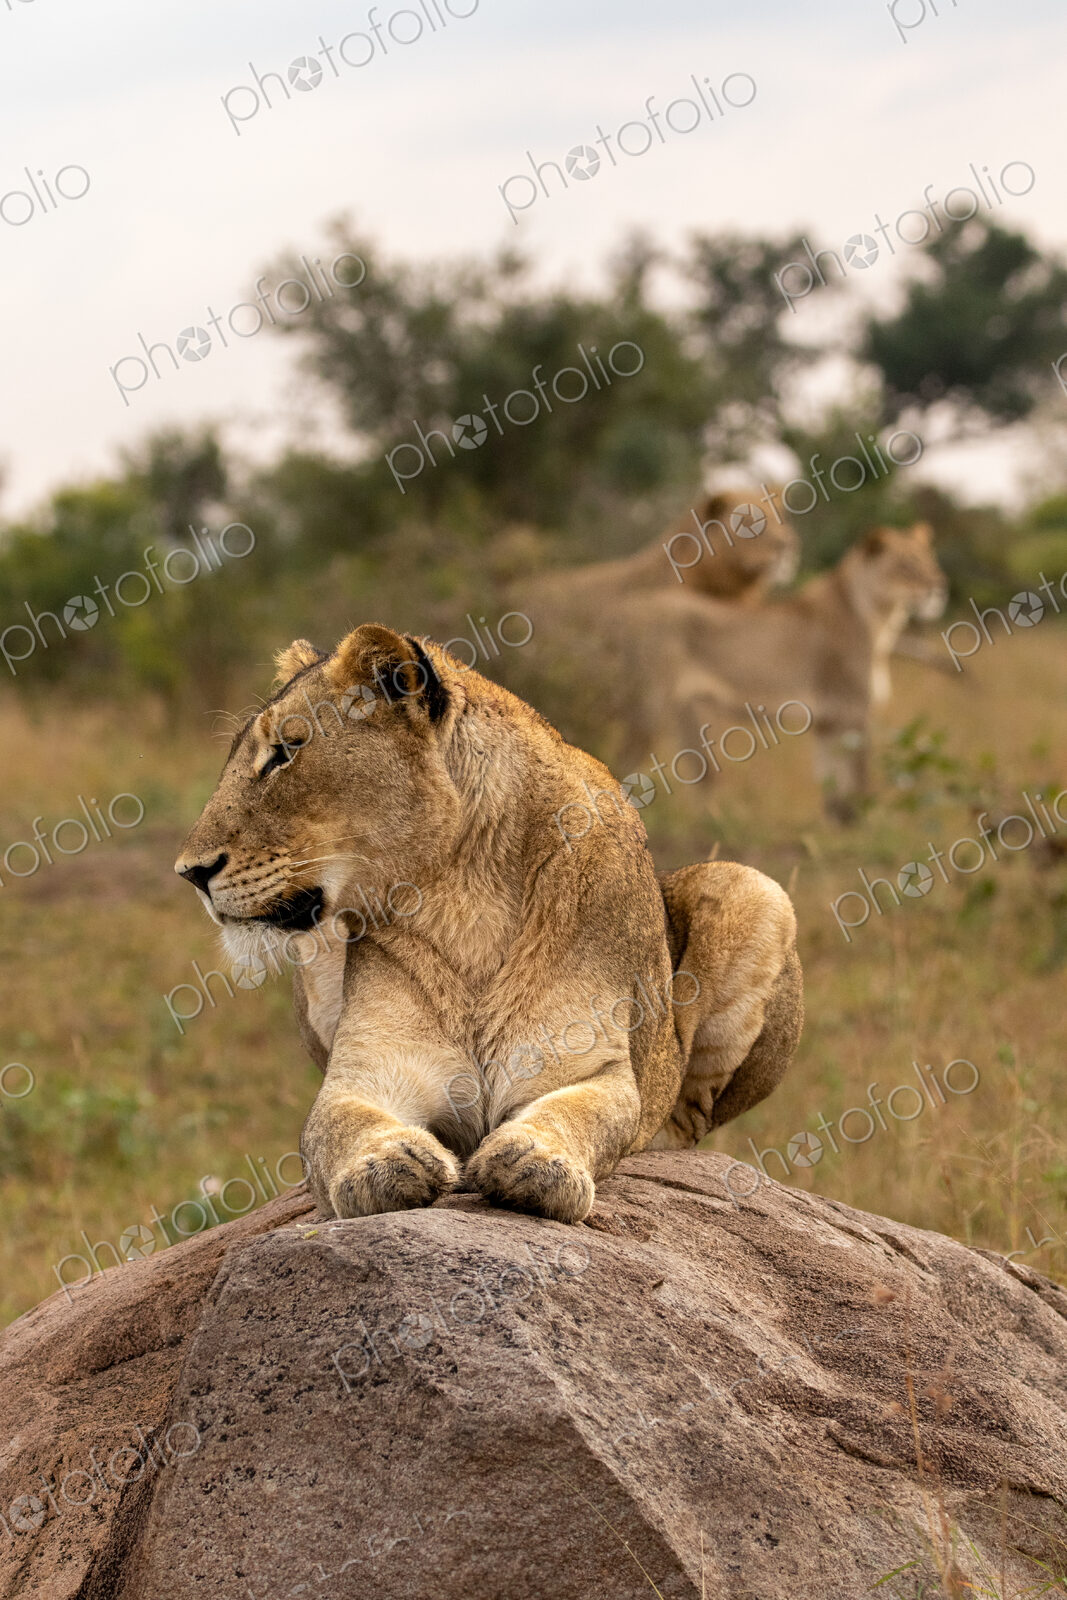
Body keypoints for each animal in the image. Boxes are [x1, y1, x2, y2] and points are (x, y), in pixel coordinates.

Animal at [175, 624, 803, 1223]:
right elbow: (336, 1125)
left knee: (689, 1119)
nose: (190, 872)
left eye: (285, 751)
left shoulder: (591, 1067)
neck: (465, 899)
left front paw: (534, 1161)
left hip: (756, 889)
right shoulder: (362, 1072)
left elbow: (583, 1112)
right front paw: (388, 1162)